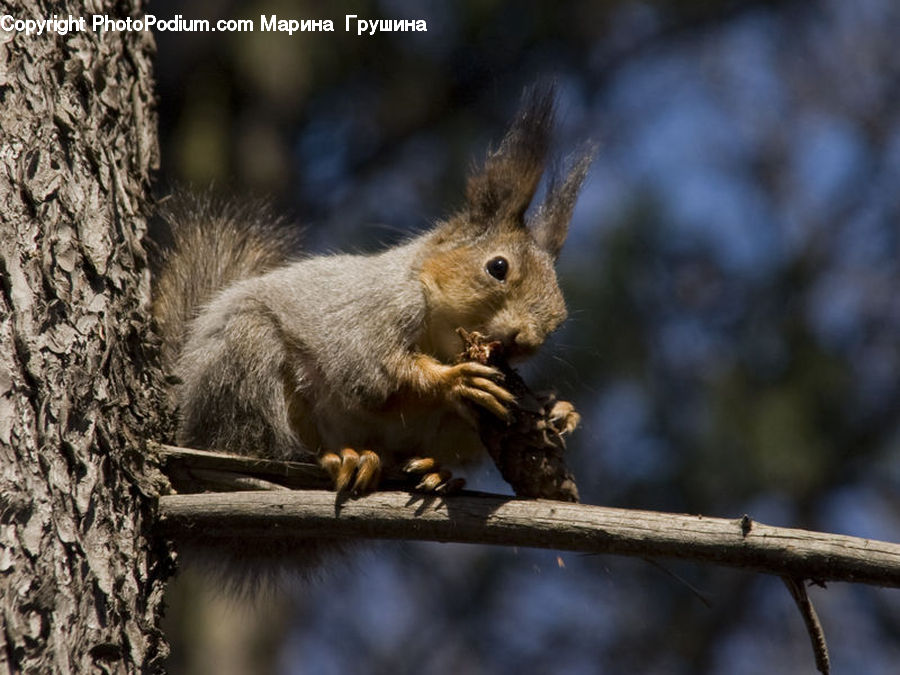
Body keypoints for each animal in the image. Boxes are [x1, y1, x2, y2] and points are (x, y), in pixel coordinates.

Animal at [153, 85, 591, 578]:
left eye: (560, 314)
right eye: (498, 267)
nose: (527, 341)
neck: (439, 334)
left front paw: (559, 410)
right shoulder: (377, 312)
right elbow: (372, 374)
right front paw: (456, 382)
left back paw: (431, 472)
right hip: (246, 363)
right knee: (258, 443)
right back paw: (340, 457)